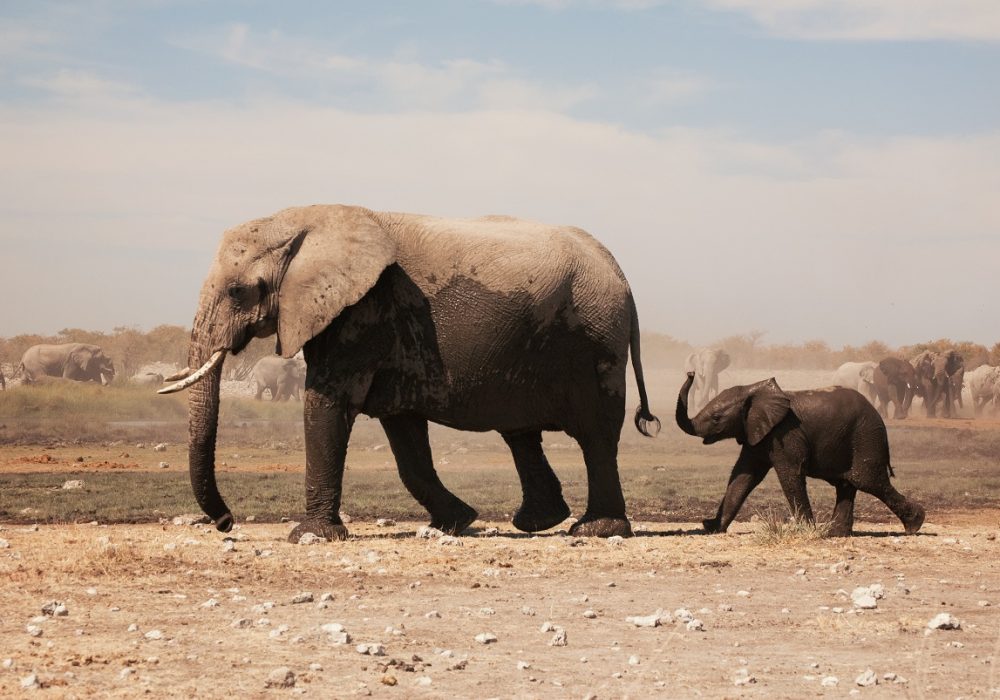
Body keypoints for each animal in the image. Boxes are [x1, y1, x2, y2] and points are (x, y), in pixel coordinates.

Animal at [159, 205, 660, 541]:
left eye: (238, 291)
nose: (226, 523)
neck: (306, 219)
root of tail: (620, 273)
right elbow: (403, 436)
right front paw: (456, 523)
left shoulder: (363, 312)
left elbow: (326, 404)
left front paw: (309, 537)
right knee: (520, 432)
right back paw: (538, 522)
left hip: (594, 340)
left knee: (595, 435)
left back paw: (595, 530)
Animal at [675, 372, 925, 537]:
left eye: (716, 418)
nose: (691, 372)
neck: (752, 390)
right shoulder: (758, 433)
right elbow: (743, 476)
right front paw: (712, 528)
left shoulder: (785, 433)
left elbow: (789, 475)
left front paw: (807, 530)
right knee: (847, 483)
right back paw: (834, 533)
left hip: (866, 436)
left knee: (868, 480)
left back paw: (915, 525)